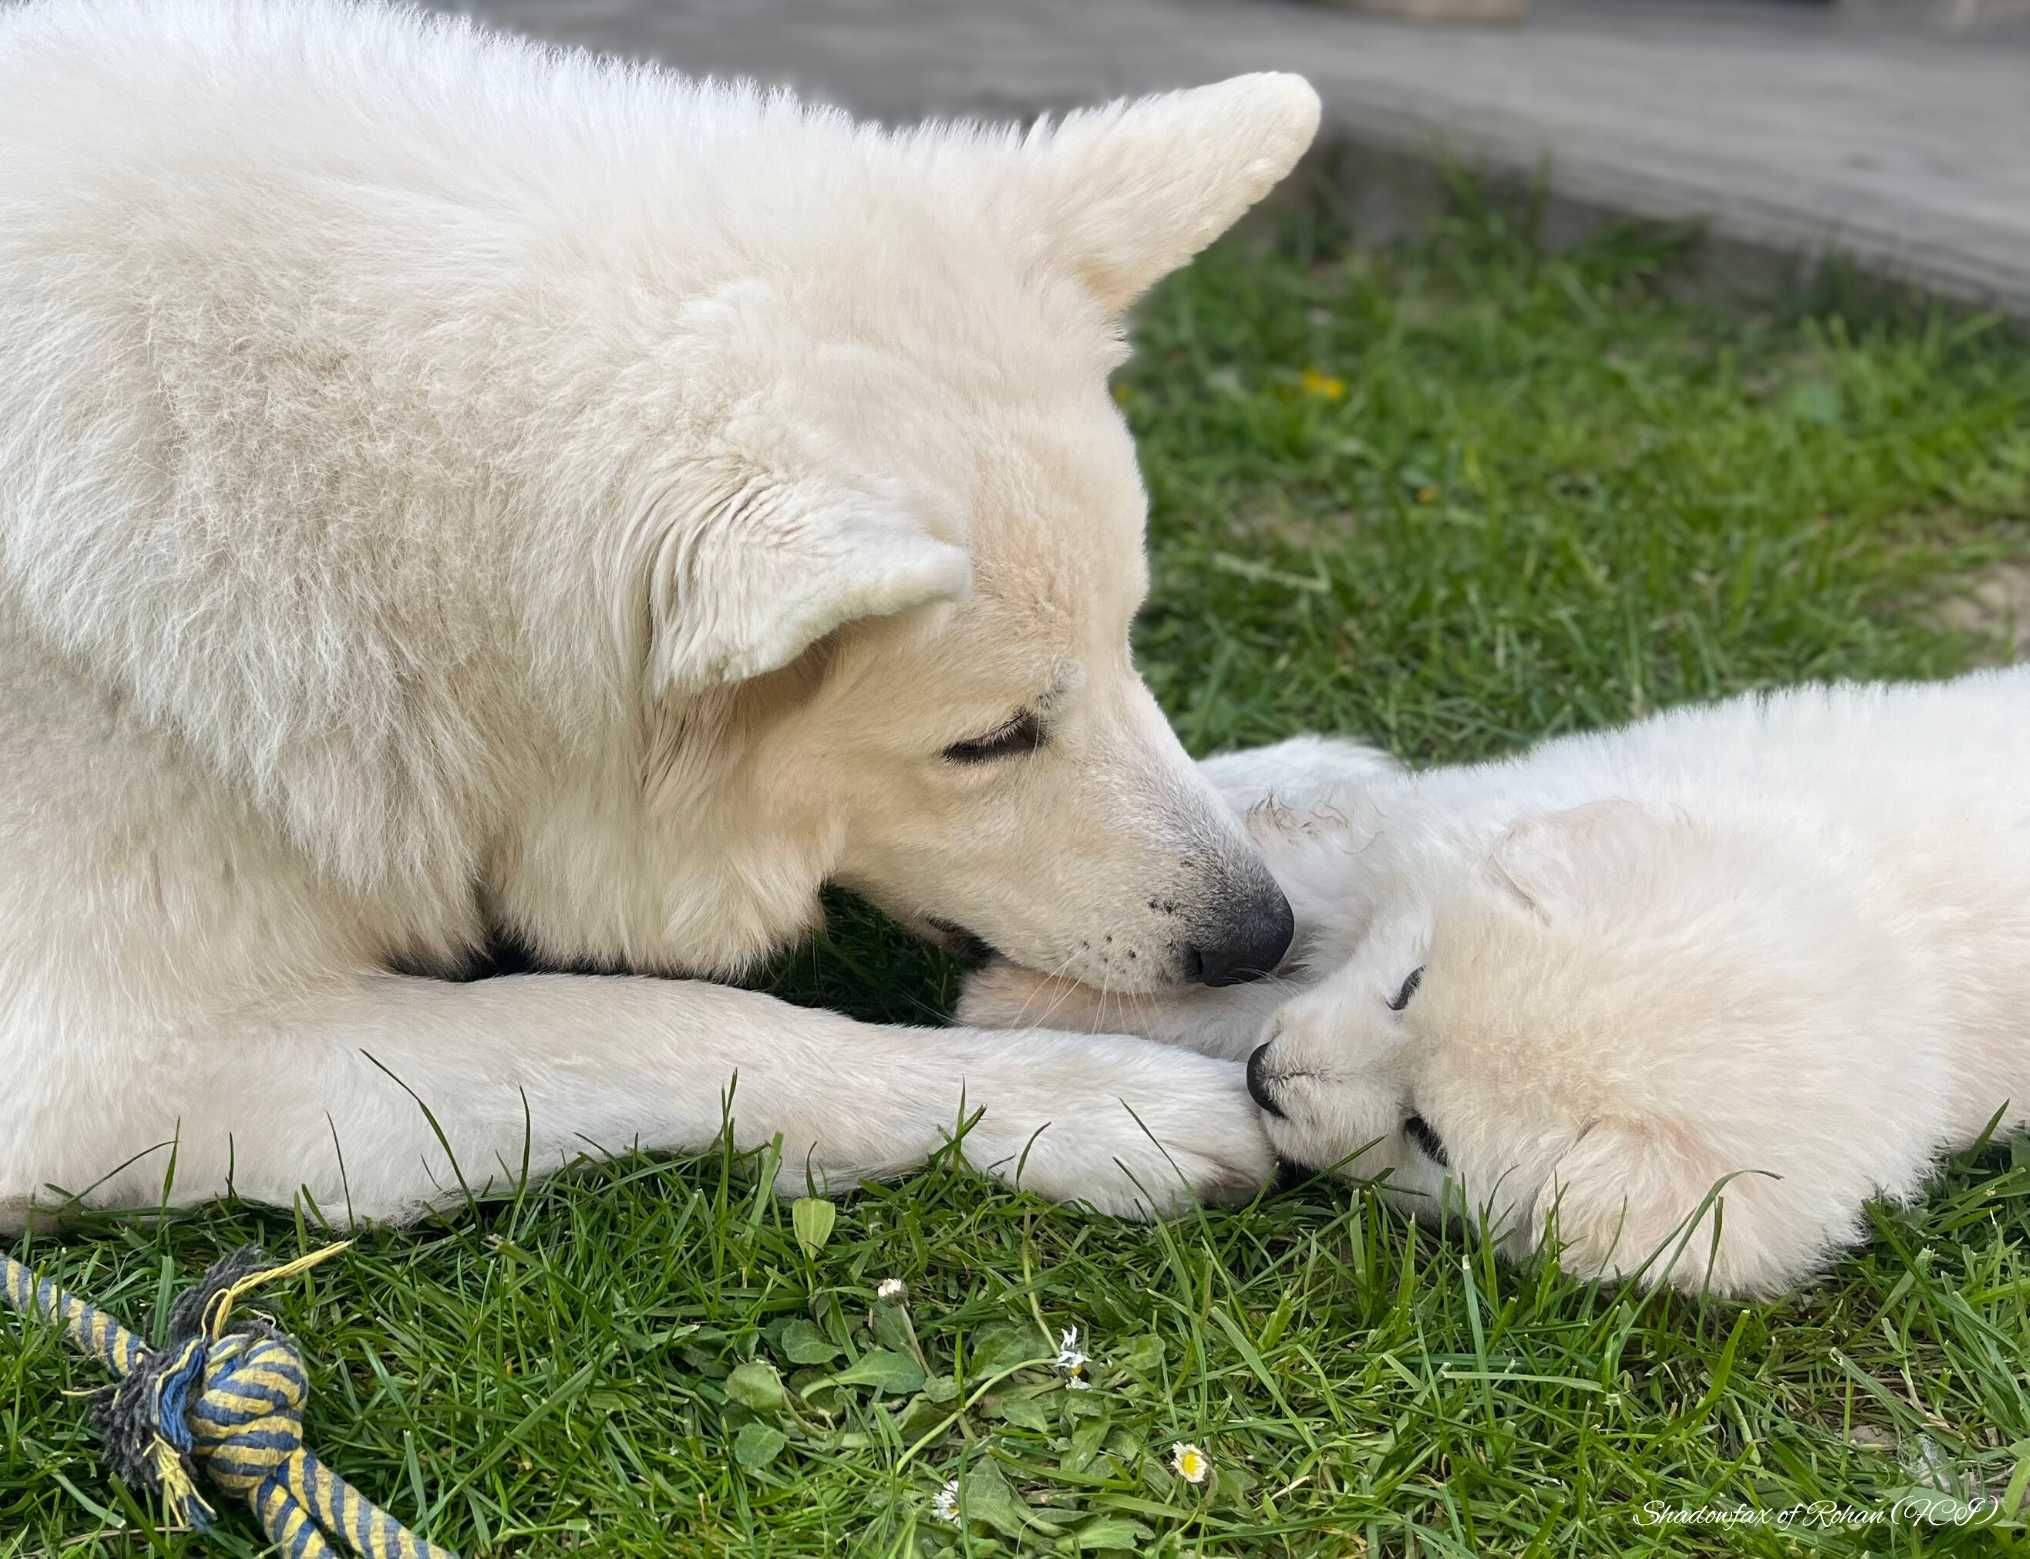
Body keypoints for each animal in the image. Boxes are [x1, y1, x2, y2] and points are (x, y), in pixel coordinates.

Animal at [0, 0, 1323, 1234]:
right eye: (987, 740)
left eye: (1128, 644)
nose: (1261, 935)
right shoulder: (117, 1069)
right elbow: (670, 1020)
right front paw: (1086, 1101)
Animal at [962, 673, 2030, 1299]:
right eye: (1409, 984)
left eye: (1428, 1137)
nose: (1269, 1077)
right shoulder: (1438, 827)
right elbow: (1298, 897)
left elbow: (1252, 993)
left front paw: (1014, 1001)